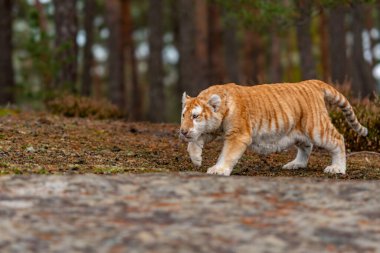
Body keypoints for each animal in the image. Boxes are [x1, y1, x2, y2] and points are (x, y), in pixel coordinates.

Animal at [181, 80, 368, 176]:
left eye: (195, 116)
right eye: (183, 115)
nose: (182, 131)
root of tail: (312, 82)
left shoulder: (238, 135)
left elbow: (227, 154)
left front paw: (218, 170)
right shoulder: (210, 130)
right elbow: (193, 142)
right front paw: (196, 159)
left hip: (317, 128)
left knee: (338, 139)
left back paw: (337, 168)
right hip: (297, 131)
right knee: (306, 146)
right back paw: (296, 164)